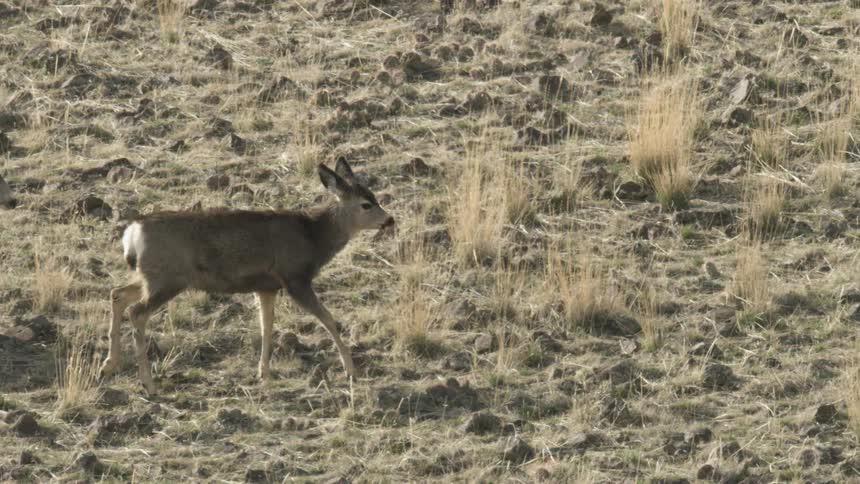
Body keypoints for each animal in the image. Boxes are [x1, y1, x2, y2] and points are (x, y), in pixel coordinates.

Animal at [100, 159, 395, 394]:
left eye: (374, 196)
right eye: (366, 204)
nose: (390, 220)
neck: (313, 236)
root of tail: (133, 231)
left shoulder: (266, 286)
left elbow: (267, 326)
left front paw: (263, 372)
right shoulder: (295, 278)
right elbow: (328, 319)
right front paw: (351, 369)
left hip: (153, 277)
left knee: (117, 294)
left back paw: (108, 365)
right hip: (167, 279)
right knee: (137, 312)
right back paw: (148, 384)